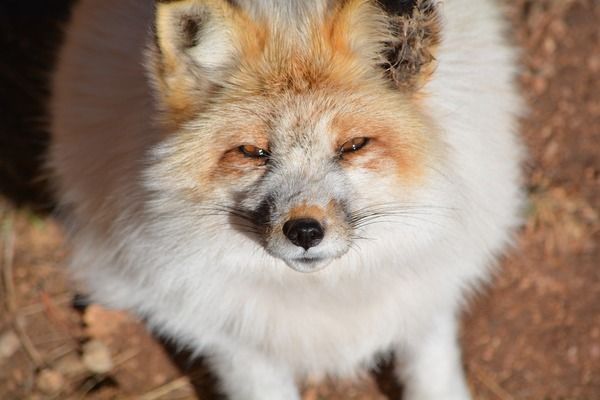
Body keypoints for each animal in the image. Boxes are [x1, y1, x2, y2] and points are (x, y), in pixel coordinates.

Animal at [49, 0, 524, 398]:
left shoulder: (430, 288)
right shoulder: (230, 333)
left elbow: (433, 371)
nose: (305, 231)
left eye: (353, 145)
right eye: (252, 151)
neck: (328, 295)